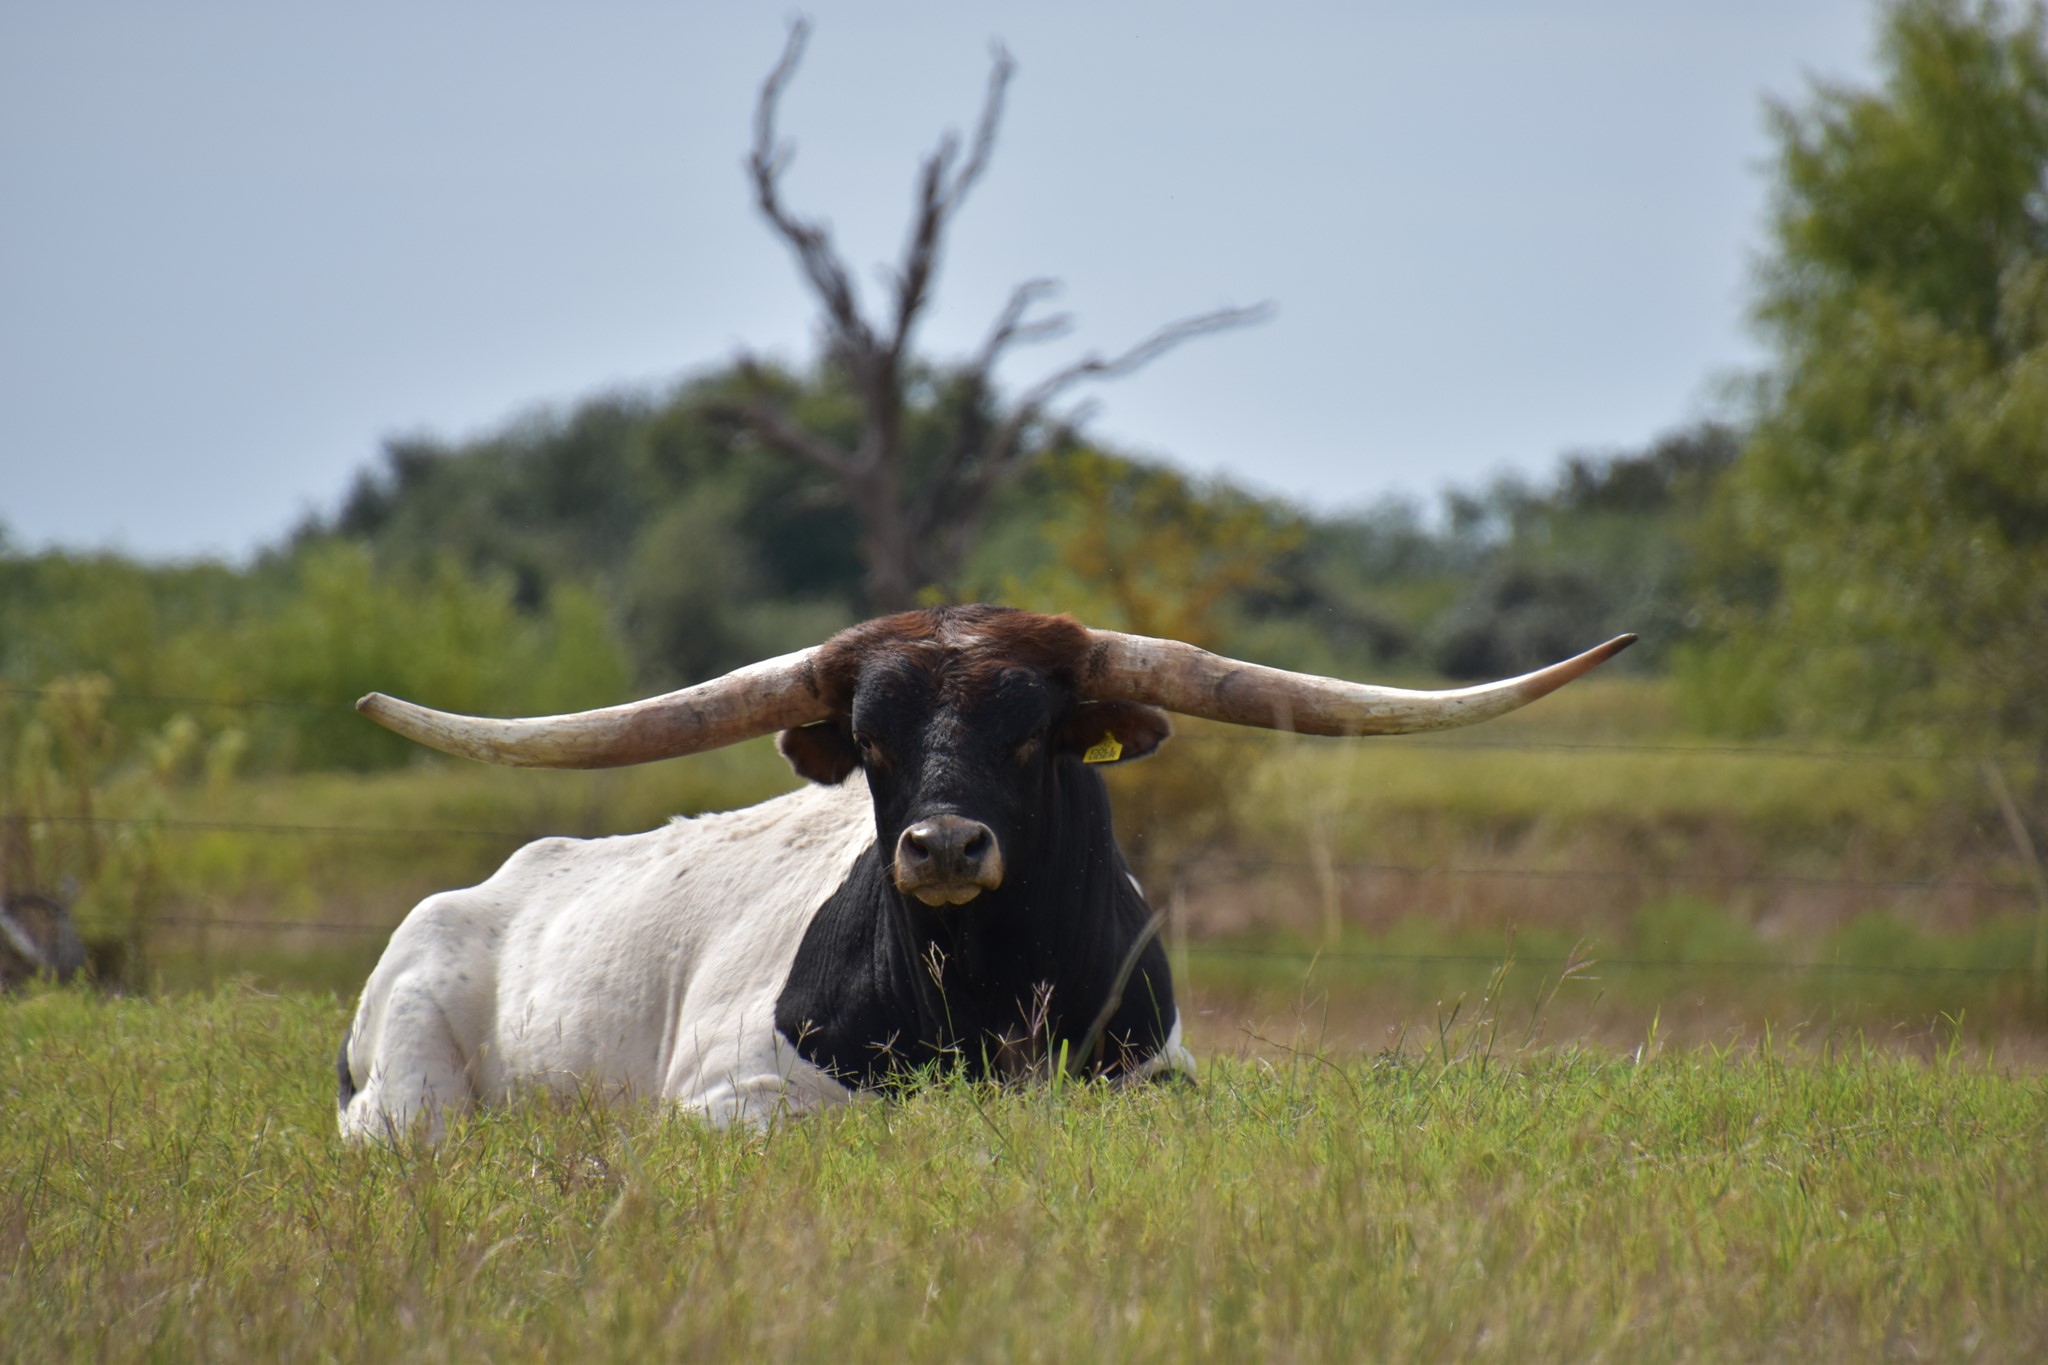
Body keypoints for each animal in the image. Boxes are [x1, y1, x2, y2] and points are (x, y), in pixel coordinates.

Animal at [337, 605, 1631, 1140]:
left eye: (1031, 732)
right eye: (869, 742)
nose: (943, 848)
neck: (990, 1003)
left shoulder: (1156, 1082)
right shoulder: (728, 1103)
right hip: (405, 1088)